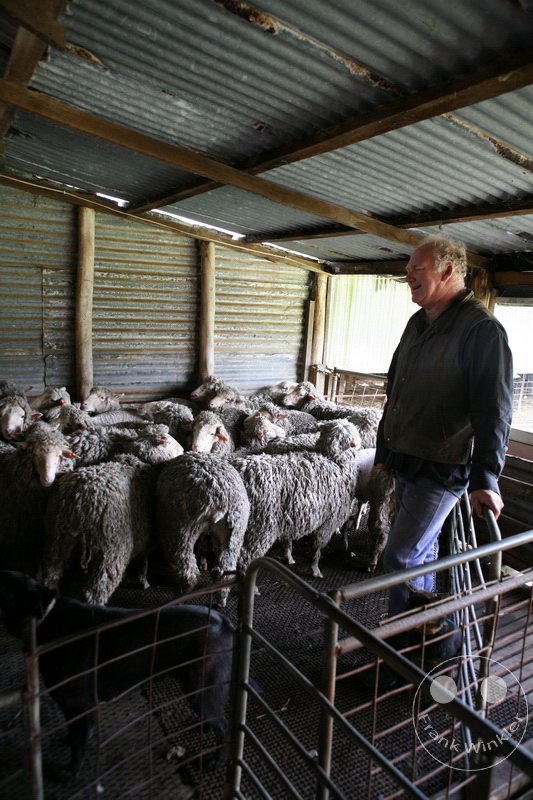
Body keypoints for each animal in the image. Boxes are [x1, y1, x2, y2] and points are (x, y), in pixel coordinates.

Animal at [156, 453, 250, 605]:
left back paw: (180, 595)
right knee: (225, 571)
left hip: (180, 531)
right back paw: (221, 599)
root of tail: (218, 498)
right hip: (234, 533)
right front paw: (204, 562)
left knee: (187, 571)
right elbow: (203, 546)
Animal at [230, 419, 361, 580]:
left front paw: (289, 557)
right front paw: (315, 569)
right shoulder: (330, 520)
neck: (335, 460)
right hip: (261, 526)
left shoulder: (293, 514)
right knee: (245, 558)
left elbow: (289, 540)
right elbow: (318, 546)